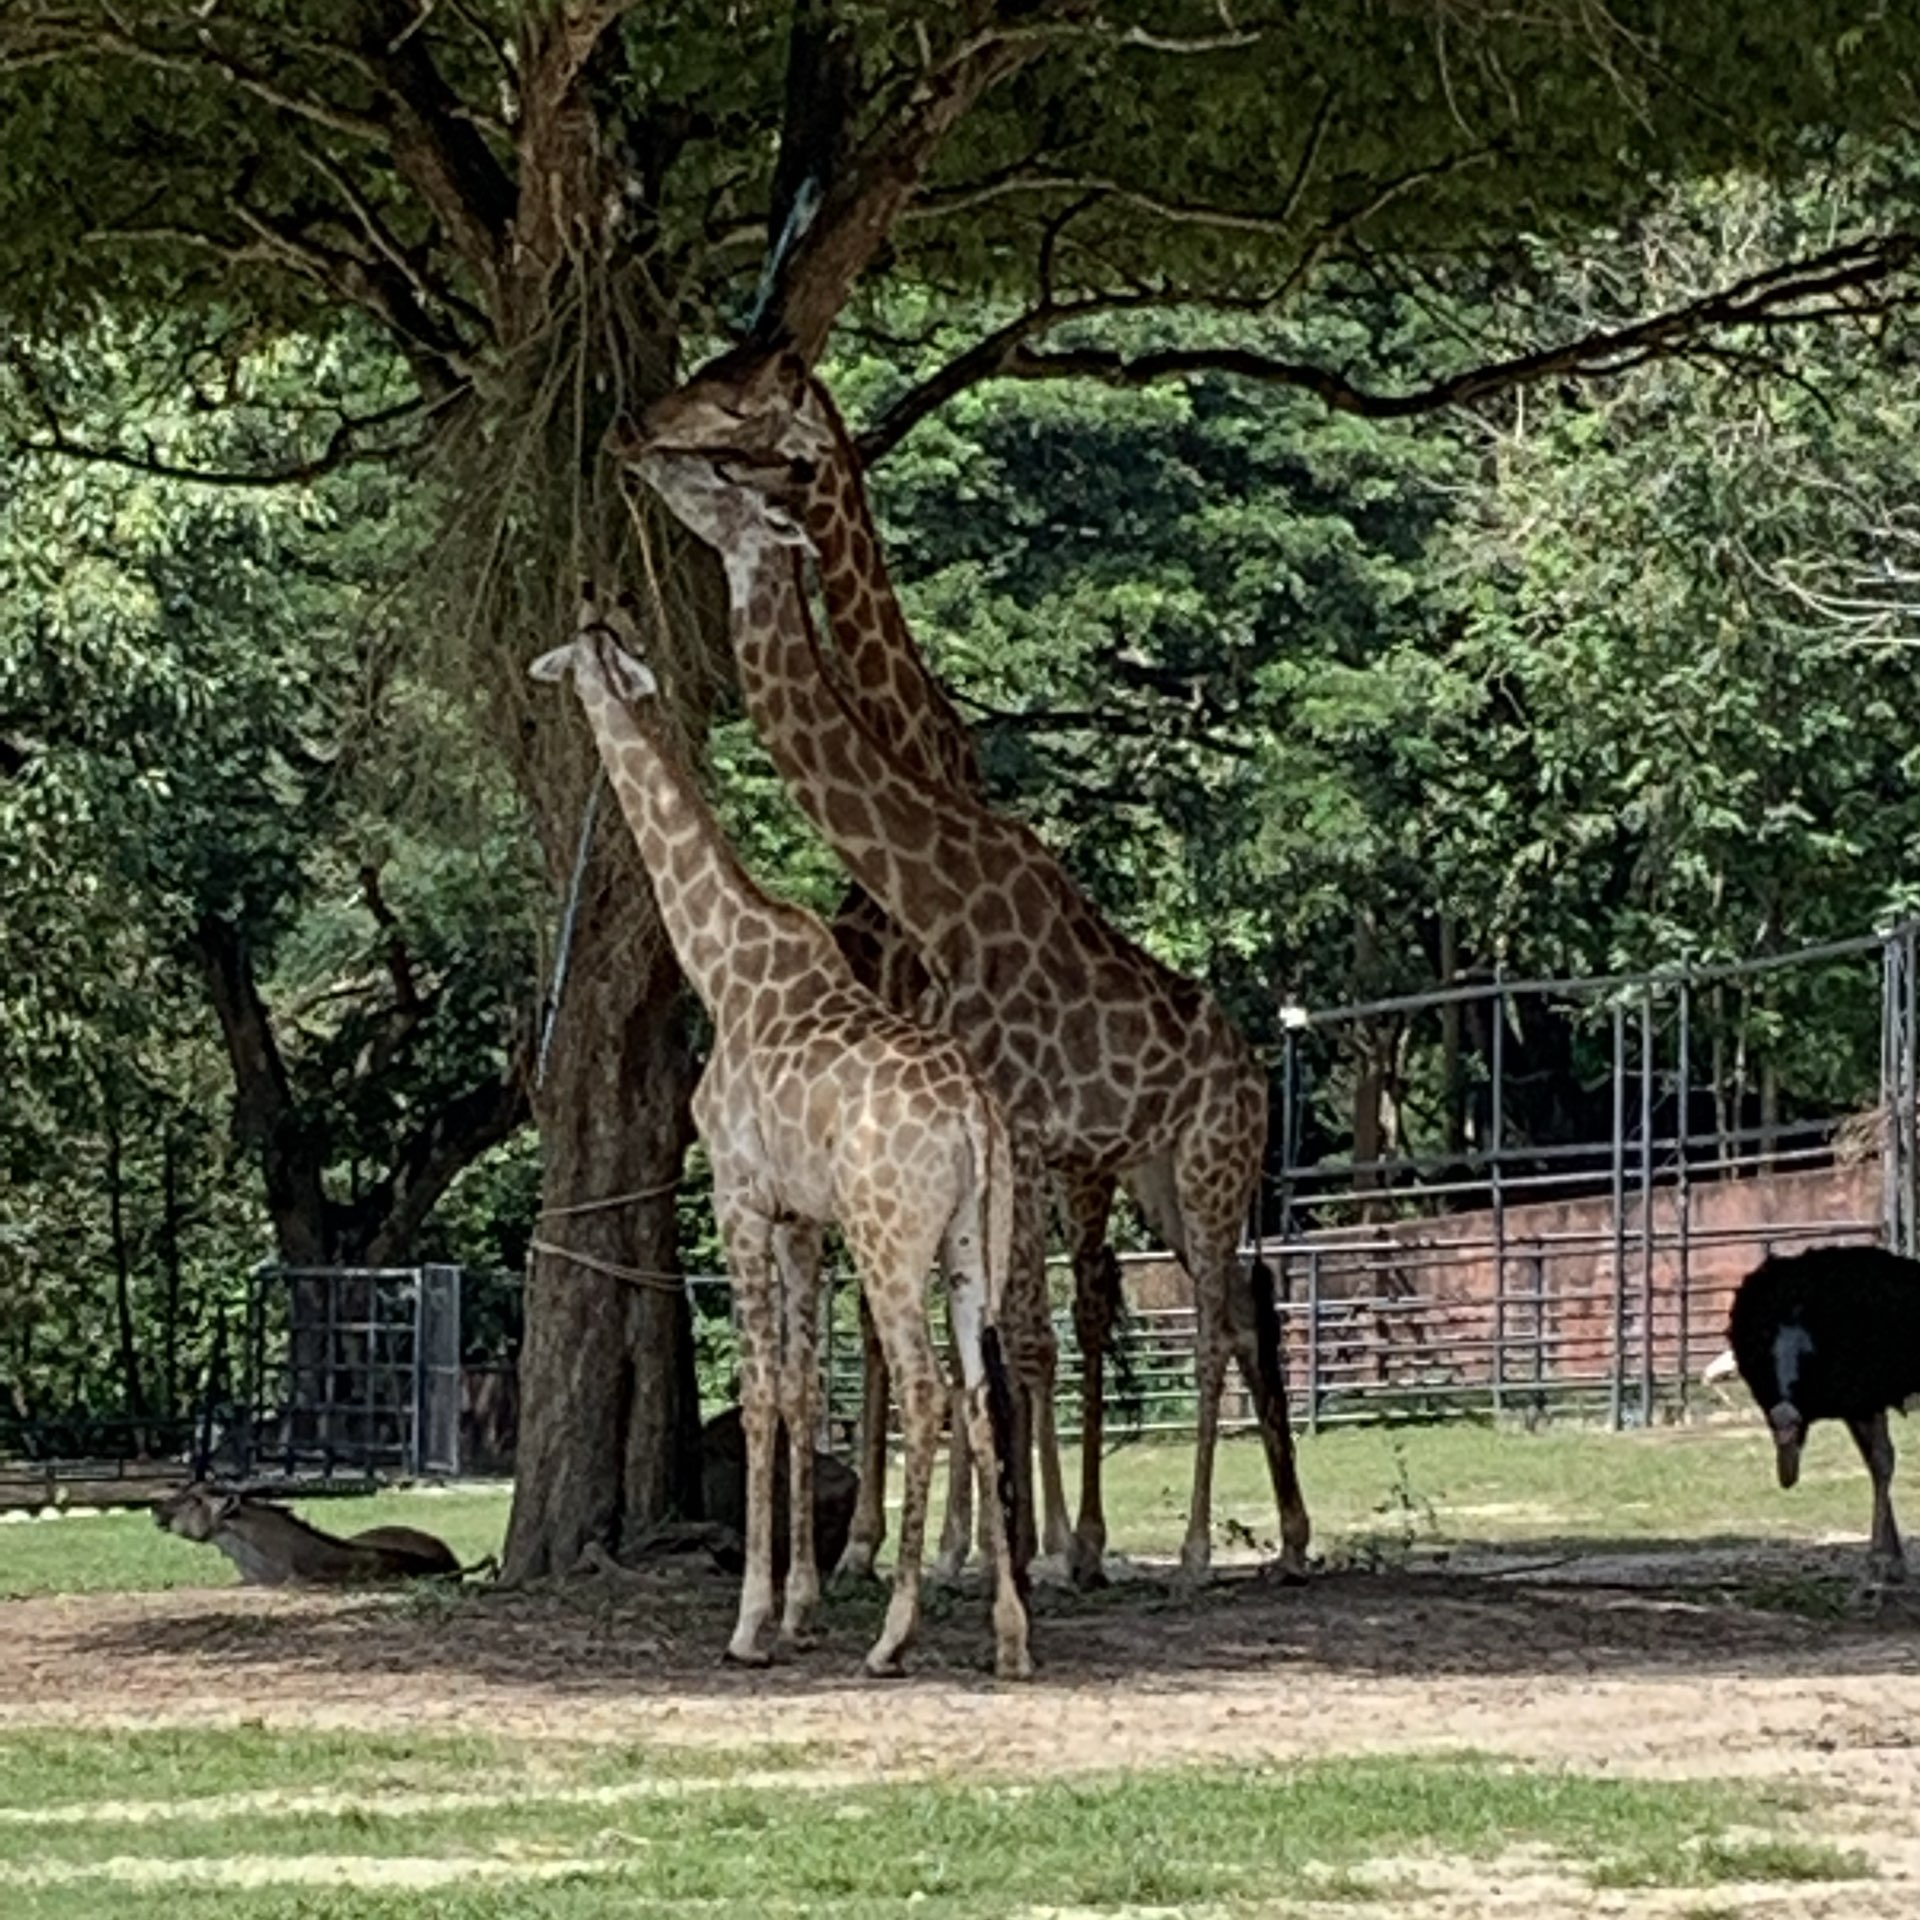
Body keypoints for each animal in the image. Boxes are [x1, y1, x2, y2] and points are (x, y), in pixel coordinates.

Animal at [526, 572, 1036, 1681]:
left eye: (576, 651)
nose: (553, 685)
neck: (723, 966)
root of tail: (976, 1117)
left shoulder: (740, 1199)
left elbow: (761, 1391)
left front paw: (753, 1622)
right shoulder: (805, 1220)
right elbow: (804, 1389)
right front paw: (800, 1606)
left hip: (891, 1241)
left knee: (927, 1390)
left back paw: (894, 1634)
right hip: (978, 1239)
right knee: (984, 1393)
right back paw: (1011, 1636)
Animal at [637, 435, 1313, 1589]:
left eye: (723, 463)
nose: (641, 450)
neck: (940, 896)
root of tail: (1256, 1068)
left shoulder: (1019, 1135)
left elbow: (1015, 1339)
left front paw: (1011, 1555)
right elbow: (984, 1334)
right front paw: (980, 1549)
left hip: (1209, 1163)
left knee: (1211, 1324)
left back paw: (1185, 1552)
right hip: (1156, 1176)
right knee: (1235, 1306)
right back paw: (1283, 1541)